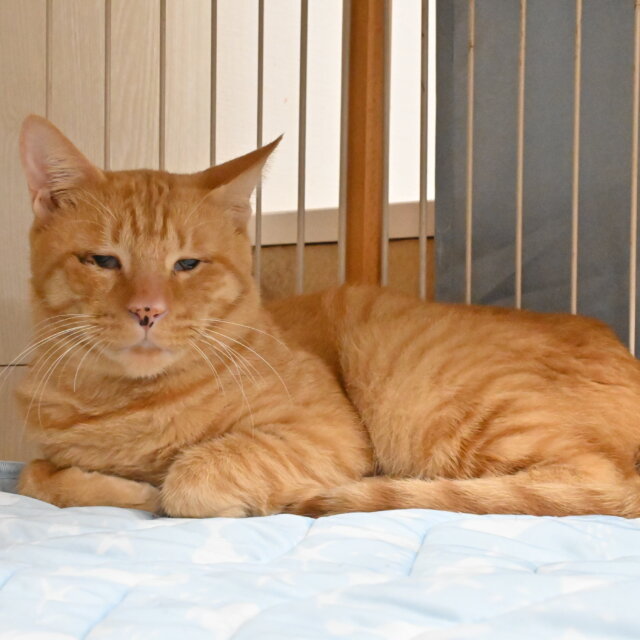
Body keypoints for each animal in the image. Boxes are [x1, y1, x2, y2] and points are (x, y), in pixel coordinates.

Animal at [15, 115, 640, 519]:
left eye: (187, 264)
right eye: (103, 261)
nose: (148, 309)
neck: (125, 403)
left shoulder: (325, 434)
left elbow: (189, 479)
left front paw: (166, 489)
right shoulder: (44, 453)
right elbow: (34, 476)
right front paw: (117, 485)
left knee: (594, 481)